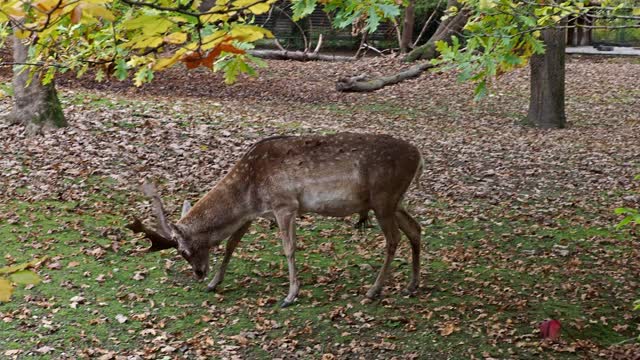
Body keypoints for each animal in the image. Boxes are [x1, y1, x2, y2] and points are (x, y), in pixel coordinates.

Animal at [127, 132, 422, 306]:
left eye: (184, 251)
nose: (199, 274)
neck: (247, 192)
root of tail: (419, 157)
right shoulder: (252, 213)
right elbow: (232, 245)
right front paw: (215, 283)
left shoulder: (285, 205)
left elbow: (289, 249)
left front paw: (291, 295)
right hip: (393, 201)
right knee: (415, 229)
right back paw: (411, 285)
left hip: (384, 197)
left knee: (394, 238)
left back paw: (374, 290)